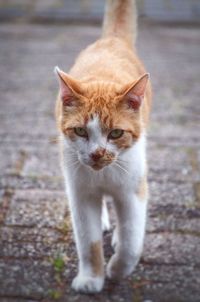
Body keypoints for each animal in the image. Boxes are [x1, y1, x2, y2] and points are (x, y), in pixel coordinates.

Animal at [54, 0, 152, 294]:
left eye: (116, 133)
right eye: (80, 131)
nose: (97, 154)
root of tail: (112, 40)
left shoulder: (133, 191)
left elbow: (132, 240)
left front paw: (118, 271)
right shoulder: (80, 192)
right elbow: (88, 241)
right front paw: (91, 278)